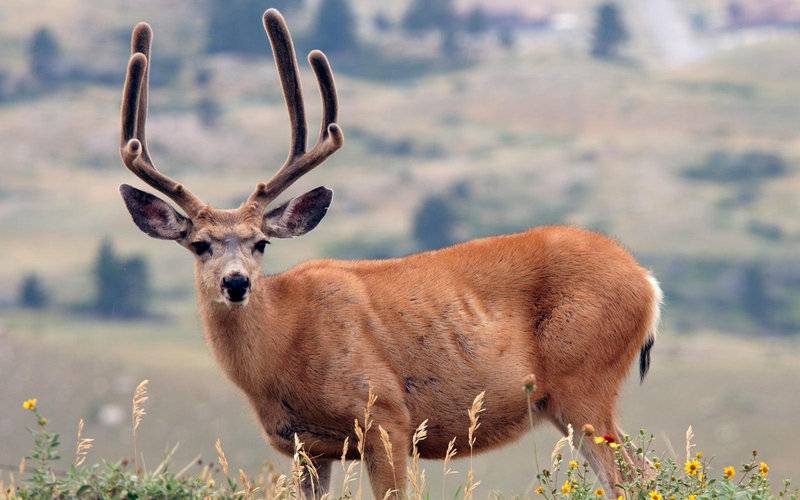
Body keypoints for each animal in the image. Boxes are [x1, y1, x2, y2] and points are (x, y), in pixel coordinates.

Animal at [117, 8, 664, 500]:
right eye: (199, 244)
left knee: (636, 476)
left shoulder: (385, 415)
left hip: (585, 378)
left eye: (260, 242)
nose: (236, 282)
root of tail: (646, 281)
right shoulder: (305, 447)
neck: (284, 345)